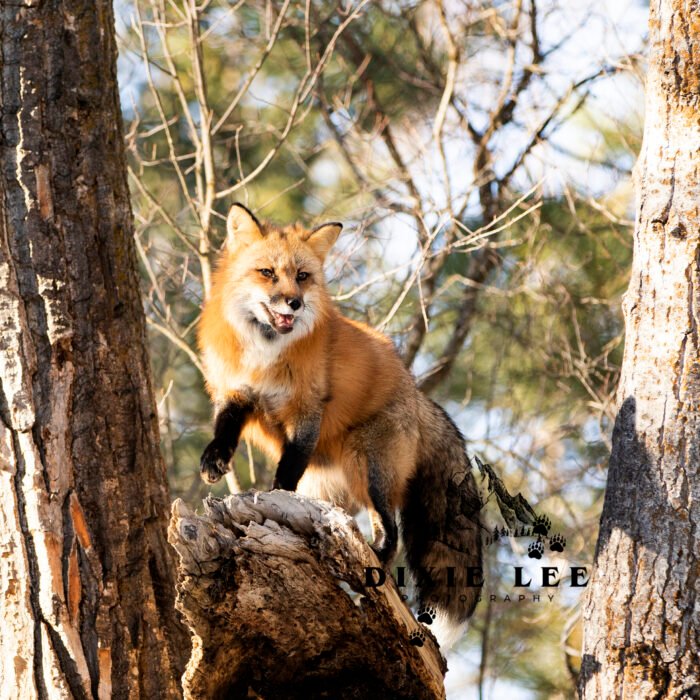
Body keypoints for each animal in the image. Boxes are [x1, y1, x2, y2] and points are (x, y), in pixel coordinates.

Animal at [198, 203, 483, 646]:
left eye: (302, 276)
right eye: (267, 273)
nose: (294, 303)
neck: (265, 352)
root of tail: (415, 391)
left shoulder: (307, 410)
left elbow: (288, 469)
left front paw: (275, 496)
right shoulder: (238, 391)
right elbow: (225, 428)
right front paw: (214, 460)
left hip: (371, 468)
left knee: (391, 531)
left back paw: (378, 559)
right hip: (330, 485)